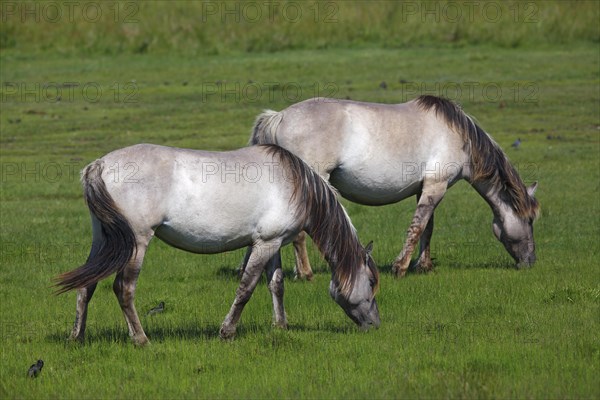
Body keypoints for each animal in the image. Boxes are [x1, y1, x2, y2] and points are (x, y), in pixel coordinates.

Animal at [52, 145, 380, 346]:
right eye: (372, 283)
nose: (375, 324)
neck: (295, 184)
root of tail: (100, 165)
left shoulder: (272, 243)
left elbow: (276, 284)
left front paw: (280, 326)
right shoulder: (264, 245)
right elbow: (246, 288)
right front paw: (227, 331)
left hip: (104, 240)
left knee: (86, 285)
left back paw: (77, 337)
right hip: (136, 243)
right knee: (123, 289)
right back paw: (141, 339)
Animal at [250, 95, 540, 280]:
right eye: (530, 220)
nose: (531, 262)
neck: (459, 137)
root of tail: (279, 117)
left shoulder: (426, 189)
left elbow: (428, 228)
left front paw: (423, 266)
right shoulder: (436, 187)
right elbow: (417, 227)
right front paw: (400, 267)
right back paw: (306, 274)